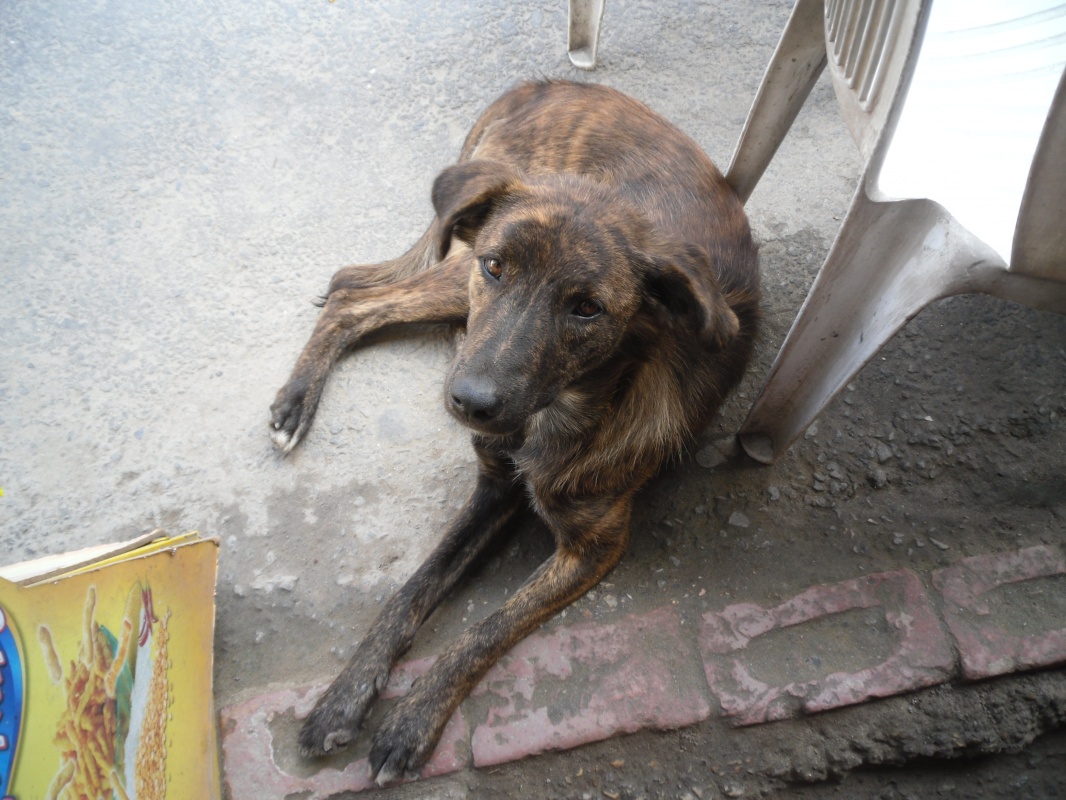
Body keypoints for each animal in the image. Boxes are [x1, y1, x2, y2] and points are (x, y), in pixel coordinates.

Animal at [270, 79, 759, 784]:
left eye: (586, 308)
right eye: (499, 267)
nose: (469, 403)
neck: (553, 416)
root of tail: (548, 84)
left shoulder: (593, 548)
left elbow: (486, 629)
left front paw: (410, 721)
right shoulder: (493, 489)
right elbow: (409, 590)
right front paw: (344, 695)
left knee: (351, 291)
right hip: (456, 265)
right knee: (351, 296)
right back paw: (294, 405)